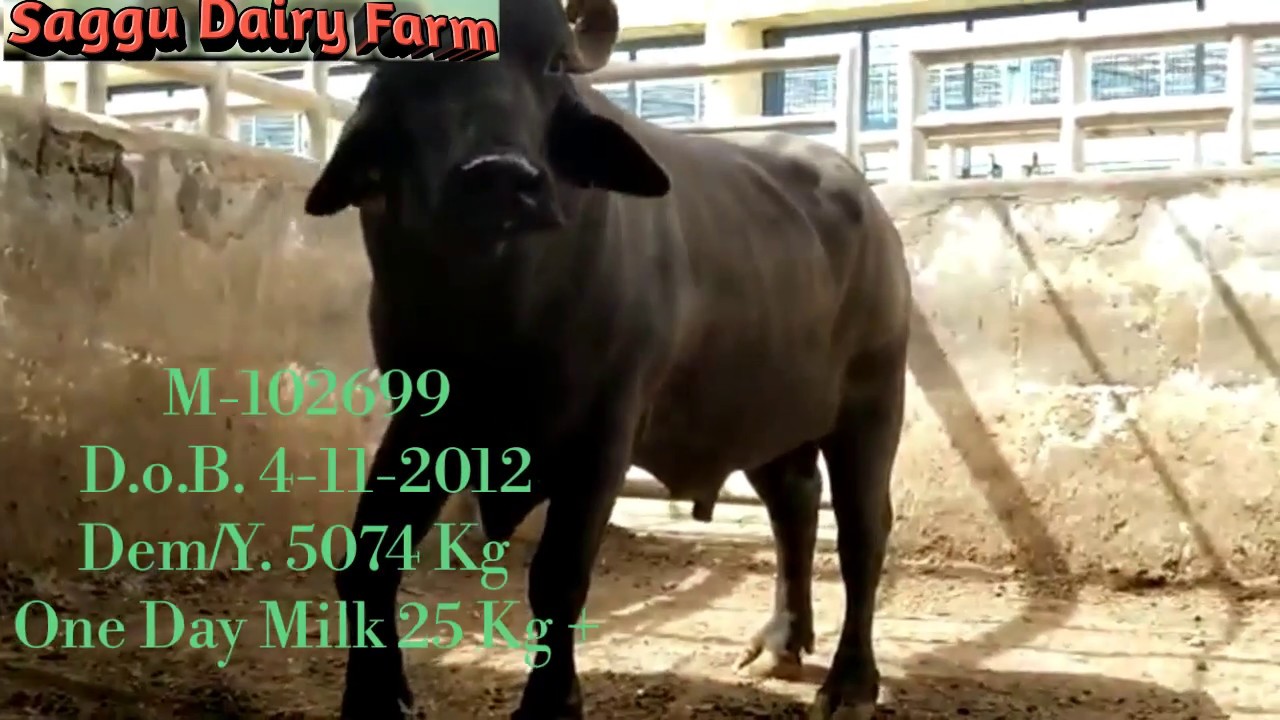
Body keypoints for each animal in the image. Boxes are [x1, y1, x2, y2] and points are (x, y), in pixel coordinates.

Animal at [300, 0, 911, 717]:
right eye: (414, 63)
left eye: (552, 62)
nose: (501, 178)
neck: (499, 311)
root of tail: (867, 206)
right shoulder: (427, 422)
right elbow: (366, 560)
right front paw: (374, 695)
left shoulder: (602, 432)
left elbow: (558, 577)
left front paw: (550, 701)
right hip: (767, 416)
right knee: (794, 505)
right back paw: (781, 642)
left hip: (872, 403)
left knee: (863, 531)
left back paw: (851, 681)